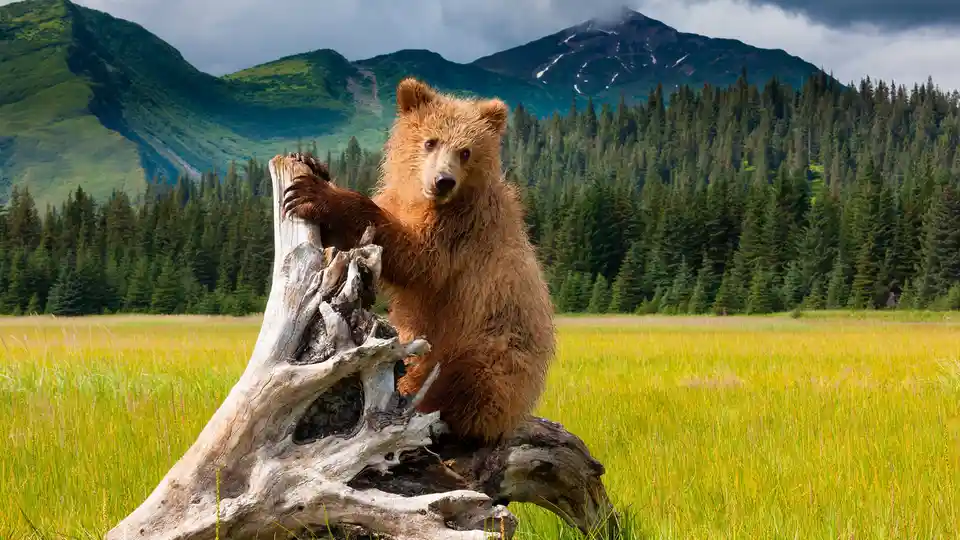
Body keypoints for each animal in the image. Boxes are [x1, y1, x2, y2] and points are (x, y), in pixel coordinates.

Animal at [282, 77, 556, 444]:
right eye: (430, 141)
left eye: (466, 151)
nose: (443, 181)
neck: (424, 200)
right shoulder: (401, 201)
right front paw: (311, 164)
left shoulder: (460, 230)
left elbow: (419, 259)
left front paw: (317, 194)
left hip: (494, 343)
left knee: (470, 381)